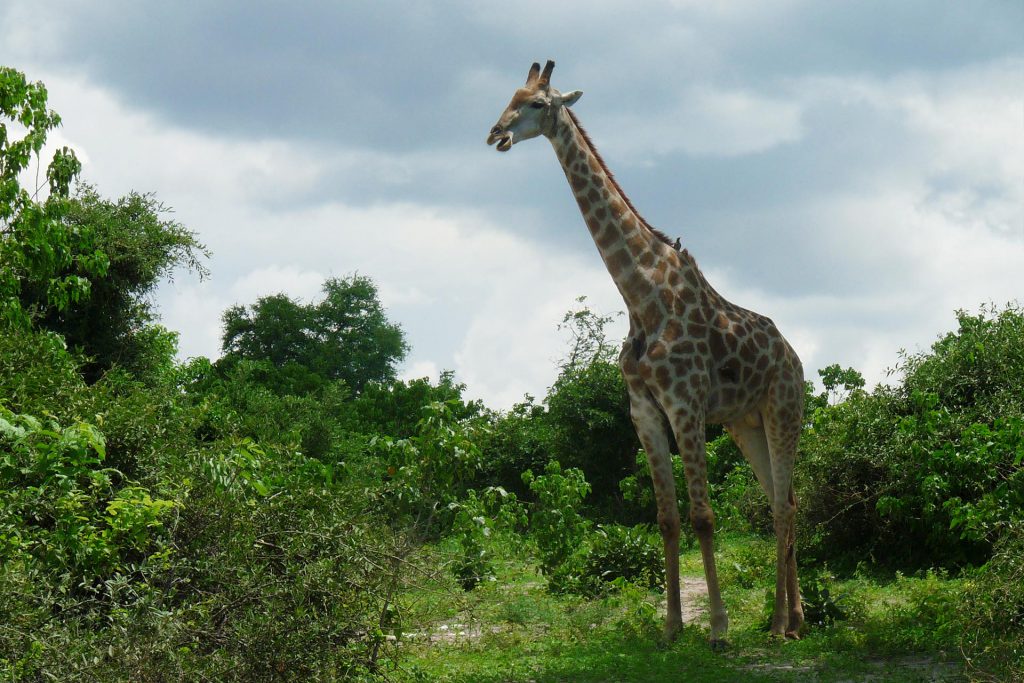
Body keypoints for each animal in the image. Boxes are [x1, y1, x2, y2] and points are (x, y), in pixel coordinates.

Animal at [487, 61, 806, 648]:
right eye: (509, 97)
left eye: (538, 103)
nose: (496, 134)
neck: (640, 295)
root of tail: (795, 358)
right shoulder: (644, 411)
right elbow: (667, 519)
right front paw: (672, 627)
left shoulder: (685, 406)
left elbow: (704, 515)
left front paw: (718, 629)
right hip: (744, 424)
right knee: (785, 500)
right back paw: (794, 618)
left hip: (783, 411)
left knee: (780, 506)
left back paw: (776, 623)